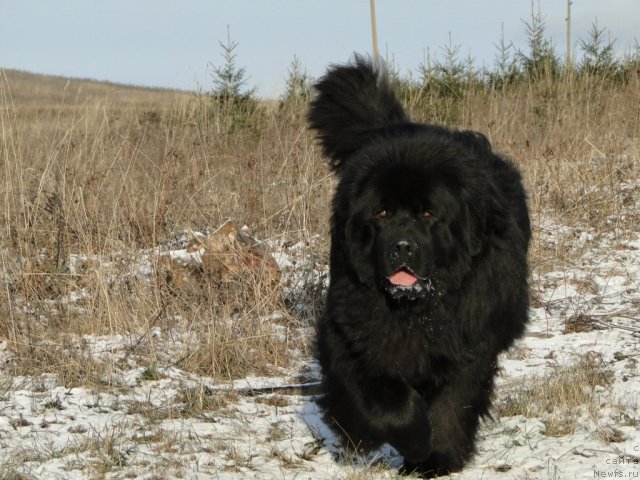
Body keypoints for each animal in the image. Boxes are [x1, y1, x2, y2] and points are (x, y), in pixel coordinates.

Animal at [308, 58, 528, 478]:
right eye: (381, 213)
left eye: (428, 214)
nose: (402, 247)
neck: (415, 308)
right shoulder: (352, 332)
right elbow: (383, 401)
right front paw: (407, 438)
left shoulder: (468, 339)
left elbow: (452, 403)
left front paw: (435, 456)